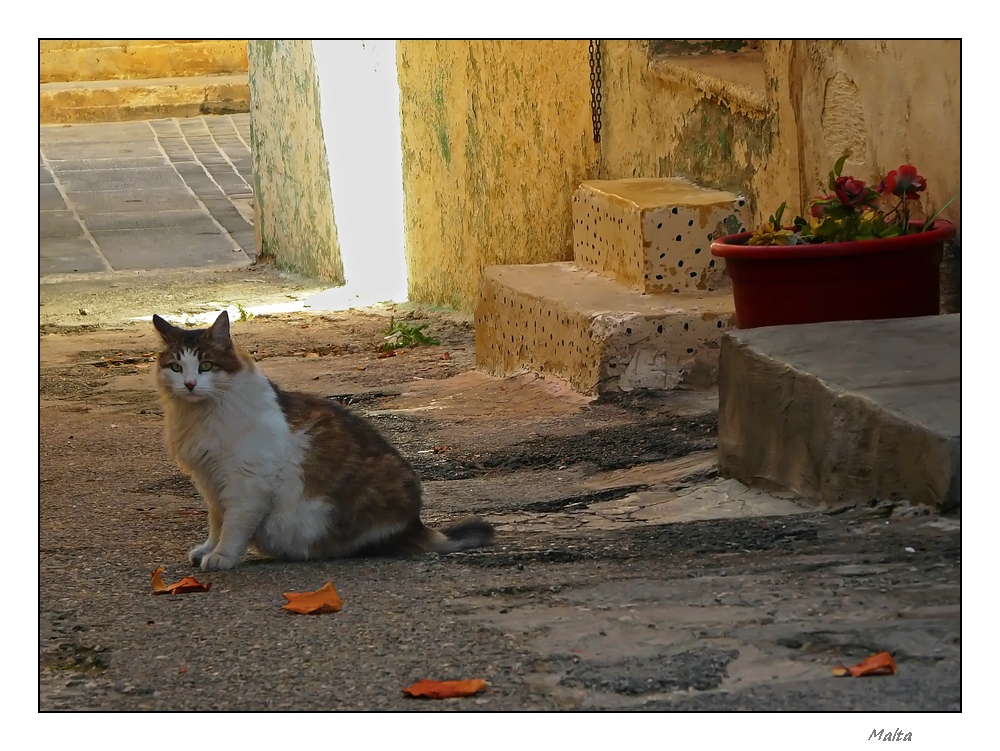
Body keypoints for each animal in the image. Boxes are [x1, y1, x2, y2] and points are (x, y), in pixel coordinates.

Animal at [152, 312, 492, 568]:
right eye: (176, 367)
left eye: (206, 366)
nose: (190, 384)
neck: (199, 416)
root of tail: (417, 523)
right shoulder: (211, 483)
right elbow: (216, 523)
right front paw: (208, 549)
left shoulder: (246, 485)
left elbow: (233, 527)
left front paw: (221, 556)